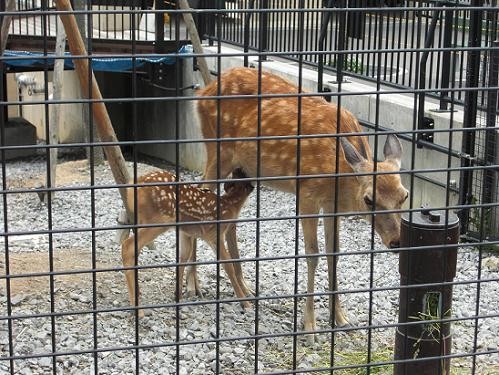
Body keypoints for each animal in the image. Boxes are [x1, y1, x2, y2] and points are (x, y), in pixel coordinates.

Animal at [193, 67, 408, 338]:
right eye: (369, 199)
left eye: (405, 195)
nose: (397, 241)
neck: (340, 177)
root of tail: (204, 91)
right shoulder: (307, 193)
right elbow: (312, 254)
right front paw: (310, 326)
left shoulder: (332, 205)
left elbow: (334, 253)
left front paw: (340, 318)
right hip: (216, 150)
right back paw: (194, 286)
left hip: (242, 168)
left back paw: (245, 288)